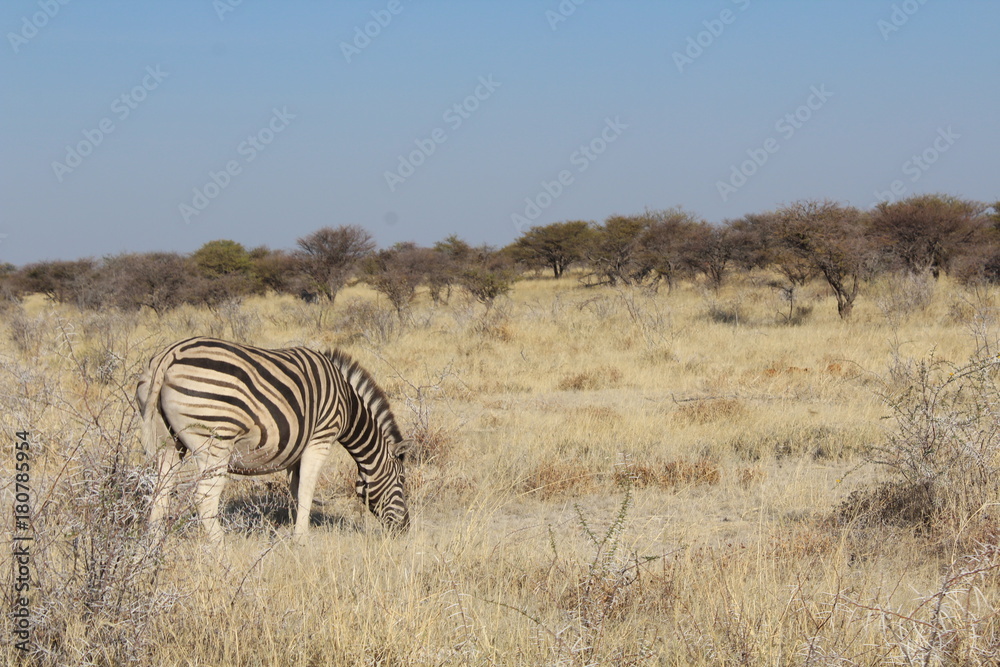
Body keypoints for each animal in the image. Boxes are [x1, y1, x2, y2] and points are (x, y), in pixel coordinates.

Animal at [136, 336, 409, 542]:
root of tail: (168, 356)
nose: (405, 528)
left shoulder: (296, 450)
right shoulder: (320, 438)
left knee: (160, 494)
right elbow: (308, 489)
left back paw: (152, 551)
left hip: (168, 444)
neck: (348, 405)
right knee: (204, 499)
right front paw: (301, 540)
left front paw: (297, 533)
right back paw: (221, 553)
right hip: (215, 442)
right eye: (402, 482)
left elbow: (297, 491)